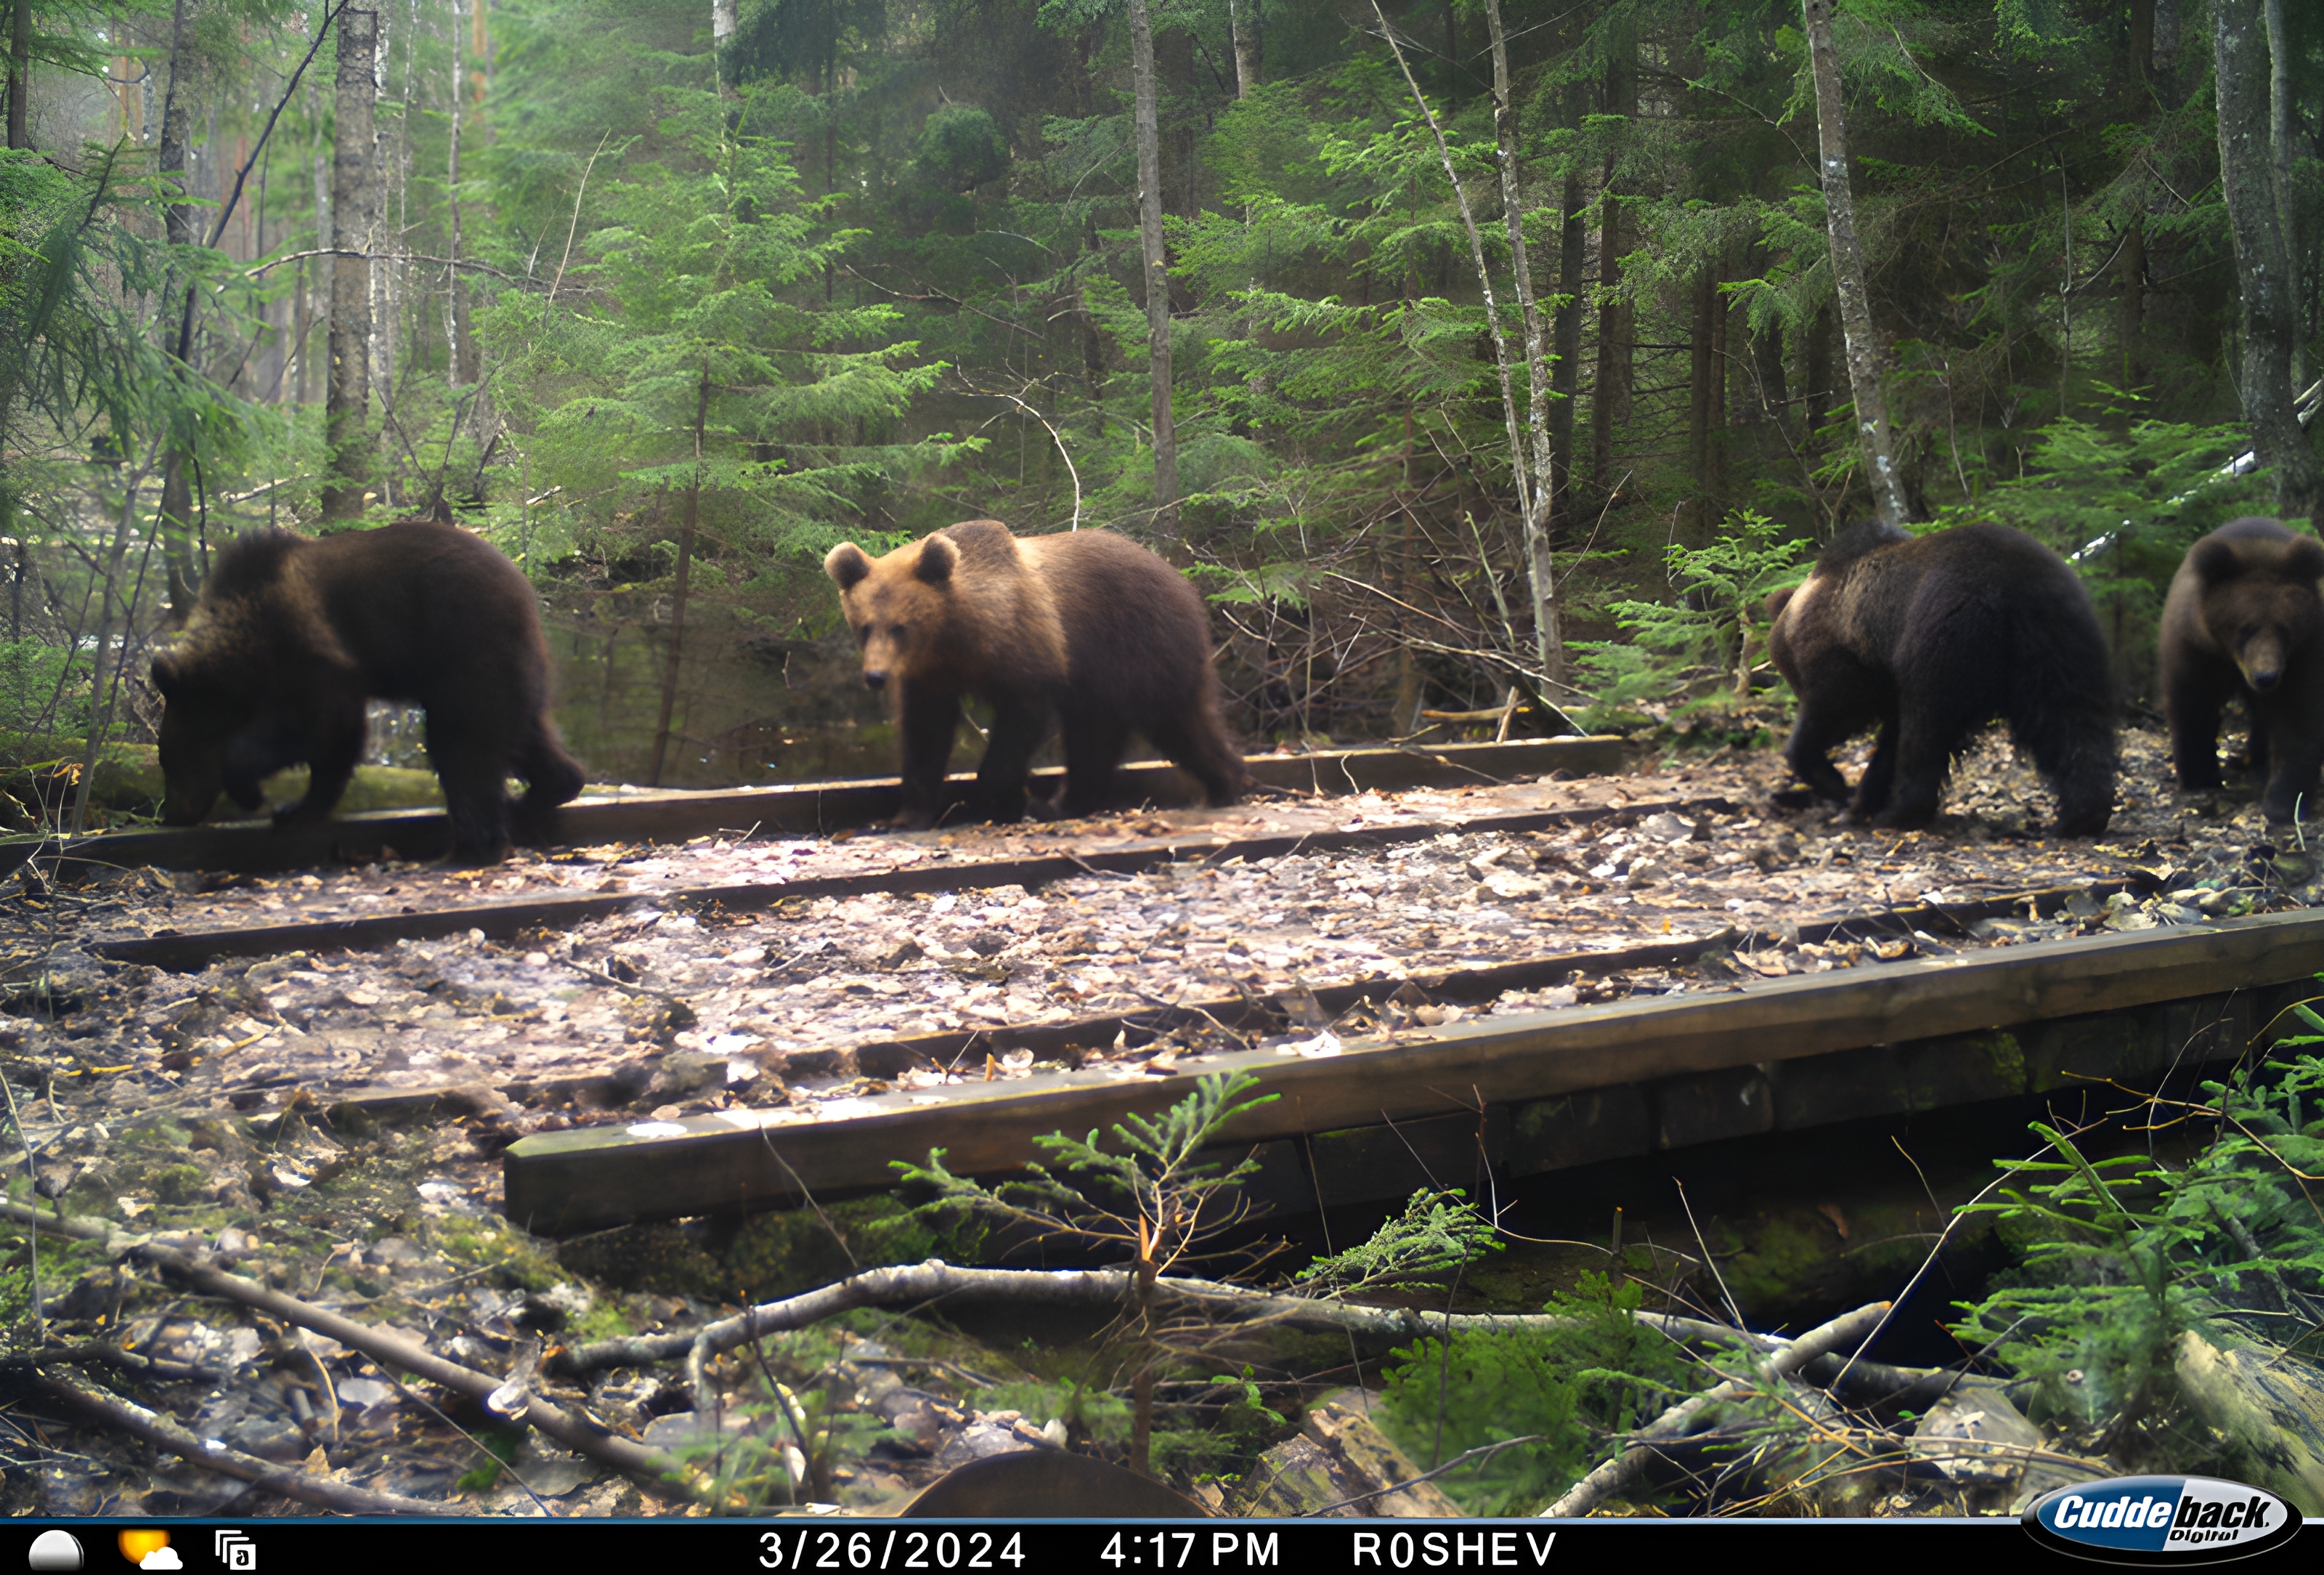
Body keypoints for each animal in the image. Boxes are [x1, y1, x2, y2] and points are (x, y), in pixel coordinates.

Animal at [152, 520, 590, 864]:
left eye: (172, 760)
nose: (172, 814)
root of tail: (526, 591)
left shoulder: (307, 656)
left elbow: (314, 728)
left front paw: (252, 792)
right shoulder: (332, 677)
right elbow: (338, 740)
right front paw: (298, 808)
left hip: (467, 649)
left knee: (462, 745)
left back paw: (473, 845)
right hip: (511, 671)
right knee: (524, 732)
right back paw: (546, 790)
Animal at [822, 525, 1246, 831]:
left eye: (901, 627)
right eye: (864, 626)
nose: (877, 676)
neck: (956, 634)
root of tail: (1181, 578)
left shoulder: (1026, 649)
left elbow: (1022, 717)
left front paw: (1005, 798)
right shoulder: (930, 677)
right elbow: (926, 736)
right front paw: (904, 816)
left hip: (1139, 648)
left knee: (1174, 720)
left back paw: (1224, 785)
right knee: (1101, 736)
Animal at [1766, 520, 2119, 845]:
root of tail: (2015, 589)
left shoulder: (1844, 659)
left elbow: (1837, 711)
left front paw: (1838, 786)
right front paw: (1860, 799)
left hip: (1945, 638)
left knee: (1926, 728)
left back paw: (1899, 813)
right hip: (2063, 643)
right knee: (2072, 722)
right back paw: (2081, 817)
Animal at [2156, 518, 2324, 827]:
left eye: (2284, 629)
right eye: (2245, 628)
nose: (2266, 678)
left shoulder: (2304, 653)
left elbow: (2299, 716)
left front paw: (2283, 803)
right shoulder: (2195, 648)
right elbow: (2192, 707)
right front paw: (2200, 778)